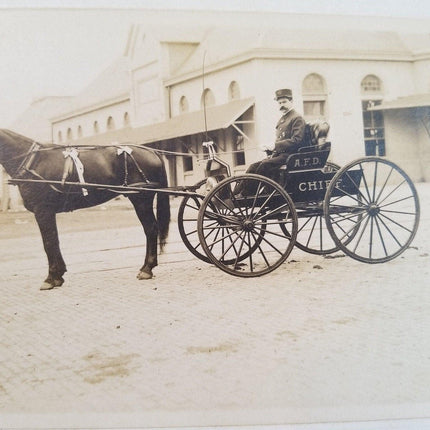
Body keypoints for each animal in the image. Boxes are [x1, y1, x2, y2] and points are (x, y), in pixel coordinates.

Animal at [0, 127, 171, 288]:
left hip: (141, 200)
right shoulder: (47, 212)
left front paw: (51, 278)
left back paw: (147, 269)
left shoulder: (43, 211)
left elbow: (48, 243)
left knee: (151, 229)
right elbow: (54, 240)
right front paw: (58, 275)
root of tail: (153, 151)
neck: (33, 161)